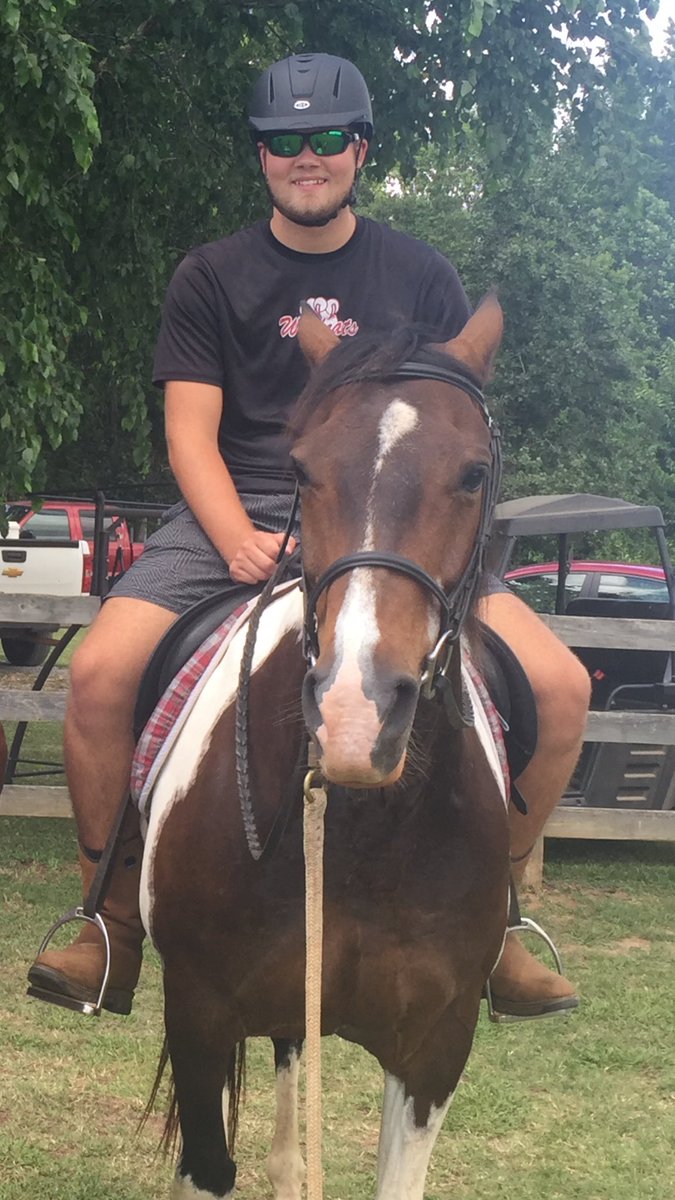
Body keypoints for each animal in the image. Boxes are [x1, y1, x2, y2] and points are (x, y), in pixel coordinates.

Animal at [139, 295, 511, 1199]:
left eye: (471, 474)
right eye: (303, 471)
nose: (354, 717)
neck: (367, 837)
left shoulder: (435, 1048)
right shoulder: (198, 1015)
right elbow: (207, 1167)